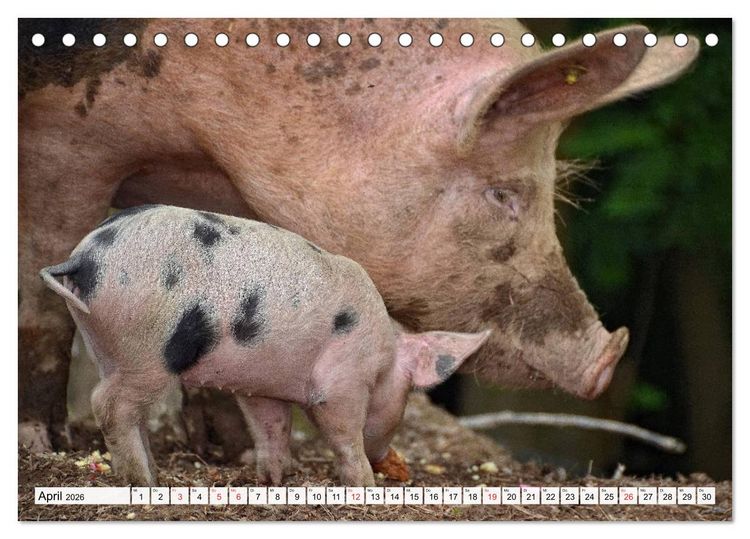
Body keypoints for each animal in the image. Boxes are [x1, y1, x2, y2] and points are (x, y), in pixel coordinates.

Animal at [19, 19, 699, 449]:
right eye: (503, 195)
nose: (606, 358)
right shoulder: (64, 137)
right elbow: (38, 288)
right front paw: (43, 445)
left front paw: (235, 453)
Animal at [40, 205, 490, 485]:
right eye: (409, 395)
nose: (386, 461)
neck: (384, 353)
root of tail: (85, 258)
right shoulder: (342, 380)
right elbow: (342, 431)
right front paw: (364, 486)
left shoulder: (261, 386)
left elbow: (272, 427)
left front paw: (274, 479)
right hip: (147, 349)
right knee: (108, 404)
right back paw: (144, 481)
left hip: (103, 343)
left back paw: (150, 471)